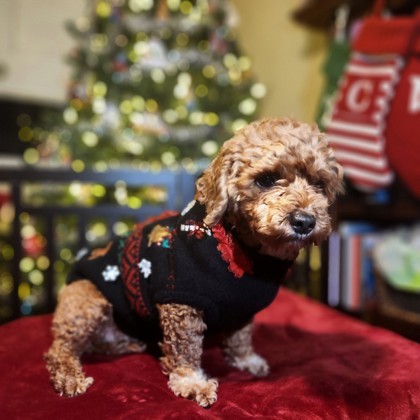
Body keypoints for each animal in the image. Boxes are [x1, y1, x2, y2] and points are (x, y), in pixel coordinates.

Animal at [44, 117, 342, 406]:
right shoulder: (181, 304)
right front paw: (192, 383)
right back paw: (70, 376)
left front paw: (245, 360)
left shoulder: (243, 309)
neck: (244, 250)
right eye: (266, 179)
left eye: (319, 184)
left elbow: (241, 337)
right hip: (87, 301)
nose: (304, 222)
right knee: (59, 350)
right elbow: (185, 349)